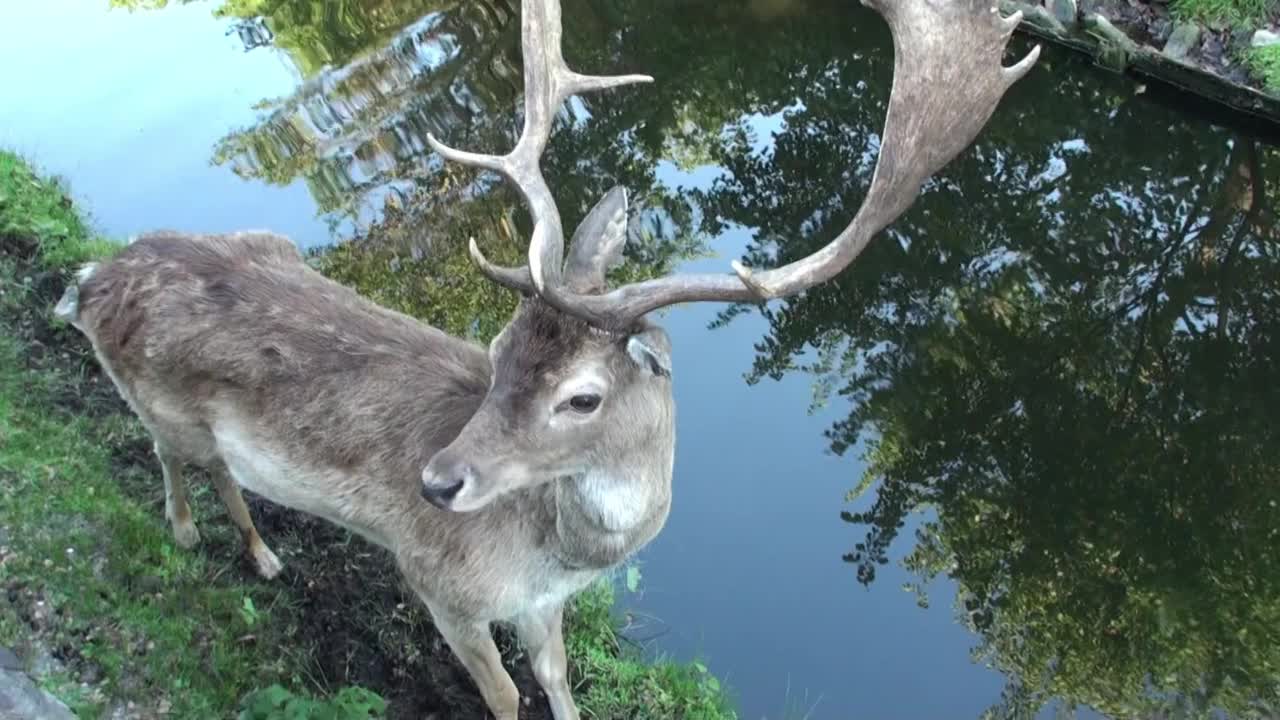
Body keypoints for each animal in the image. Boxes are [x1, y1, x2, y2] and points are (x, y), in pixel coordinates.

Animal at [55, 0, 1044, 712]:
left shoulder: (543, 605)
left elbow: (559, 683)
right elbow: (500, 697)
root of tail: (95, 277)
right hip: (151, 395)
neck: (549, 553)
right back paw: (196, 537)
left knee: (220, 467)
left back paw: (264, 558)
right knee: (168, 454)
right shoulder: (438, 583)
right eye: (496, 350)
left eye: (582, 396)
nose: (435, 482)